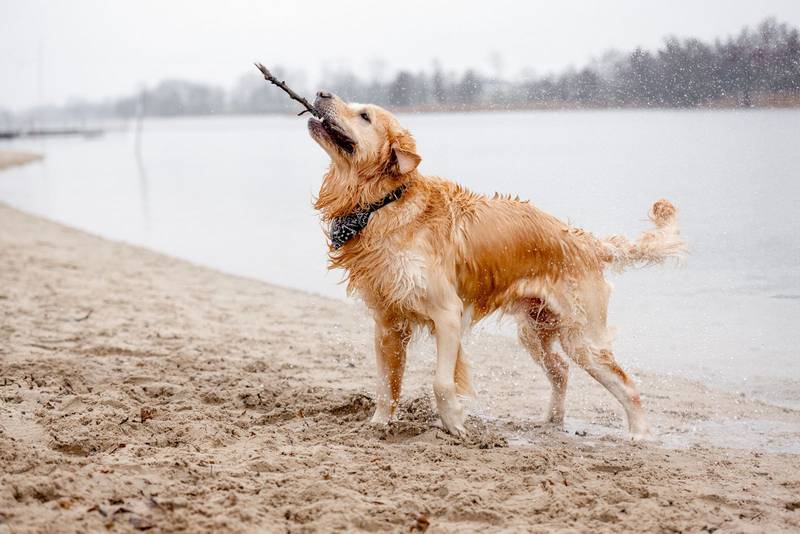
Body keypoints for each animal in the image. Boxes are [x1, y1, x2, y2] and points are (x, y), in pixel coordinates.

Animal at [308, 91, 684, 440]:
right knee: (561, 369)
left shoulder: (447, 313)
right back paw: (551, 420)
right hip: (534, 330)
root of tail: (583, 239)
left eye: (364, 116)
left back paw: (639, 434)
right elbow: (386, 385)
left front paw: (455, 422)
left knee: (628, 386)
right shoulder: (387, 321)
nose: (322, 93)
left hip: (582, 338)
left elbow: (441, 382)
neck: (381, 204)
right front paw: (378, 425)